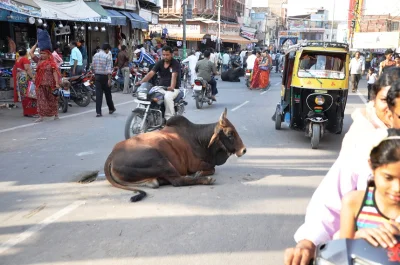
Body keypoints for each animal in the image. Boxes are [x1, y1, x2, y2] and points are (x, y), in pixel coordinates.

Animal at [104, 108, 245, 201]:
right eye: (230, 133)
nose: (244, 150)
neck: (199, 138)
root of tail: (112, 155)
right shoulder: (194, 165)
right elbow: (212, 168)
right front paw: (199, 173)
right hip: (159, 161)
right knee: (177, 181)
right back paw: (205, 180)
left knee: (156, 183)